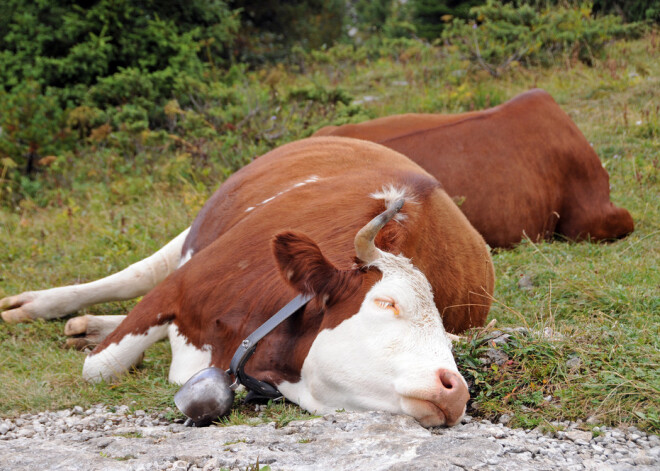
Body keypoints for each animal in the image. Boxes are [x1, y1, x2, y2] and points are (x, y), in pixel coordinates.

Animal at [1, 137, 496, 428]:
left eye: (449, 337)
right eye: (387, 303)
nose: (455, 390)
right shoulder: (181, 285)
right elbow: (102, 368)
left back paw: (85, 326)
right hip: (193, 237)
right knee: (139, 272)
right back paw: (32, 307)